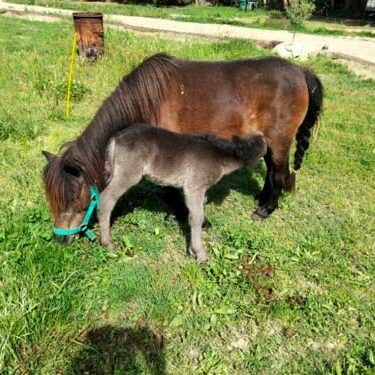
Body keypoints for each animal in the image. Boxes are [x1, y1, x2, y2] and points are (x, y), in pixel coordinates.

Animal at [43, 53, 324, 235]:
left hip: (280, 140)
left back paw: (266, 209)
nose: (60, 239)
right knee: (271, 170)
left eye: (73, 197)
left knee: (279, 174)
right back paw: (261, 198)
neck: (148, 99)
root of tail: (301, 72)